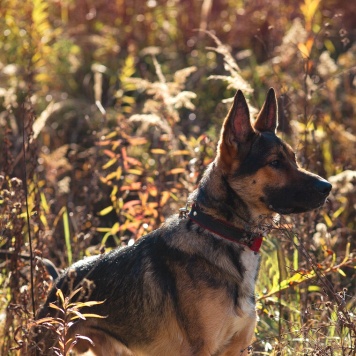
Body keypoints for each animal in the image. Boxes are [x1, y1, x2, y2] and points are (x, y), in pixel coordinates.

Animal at [34, 87, 332, 354]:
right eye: (275, 163)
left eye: (294, 159)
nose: (327, 187)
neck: (223, 232)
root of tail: (60, 279)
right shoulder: (201, 349)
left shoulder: (236, 347)